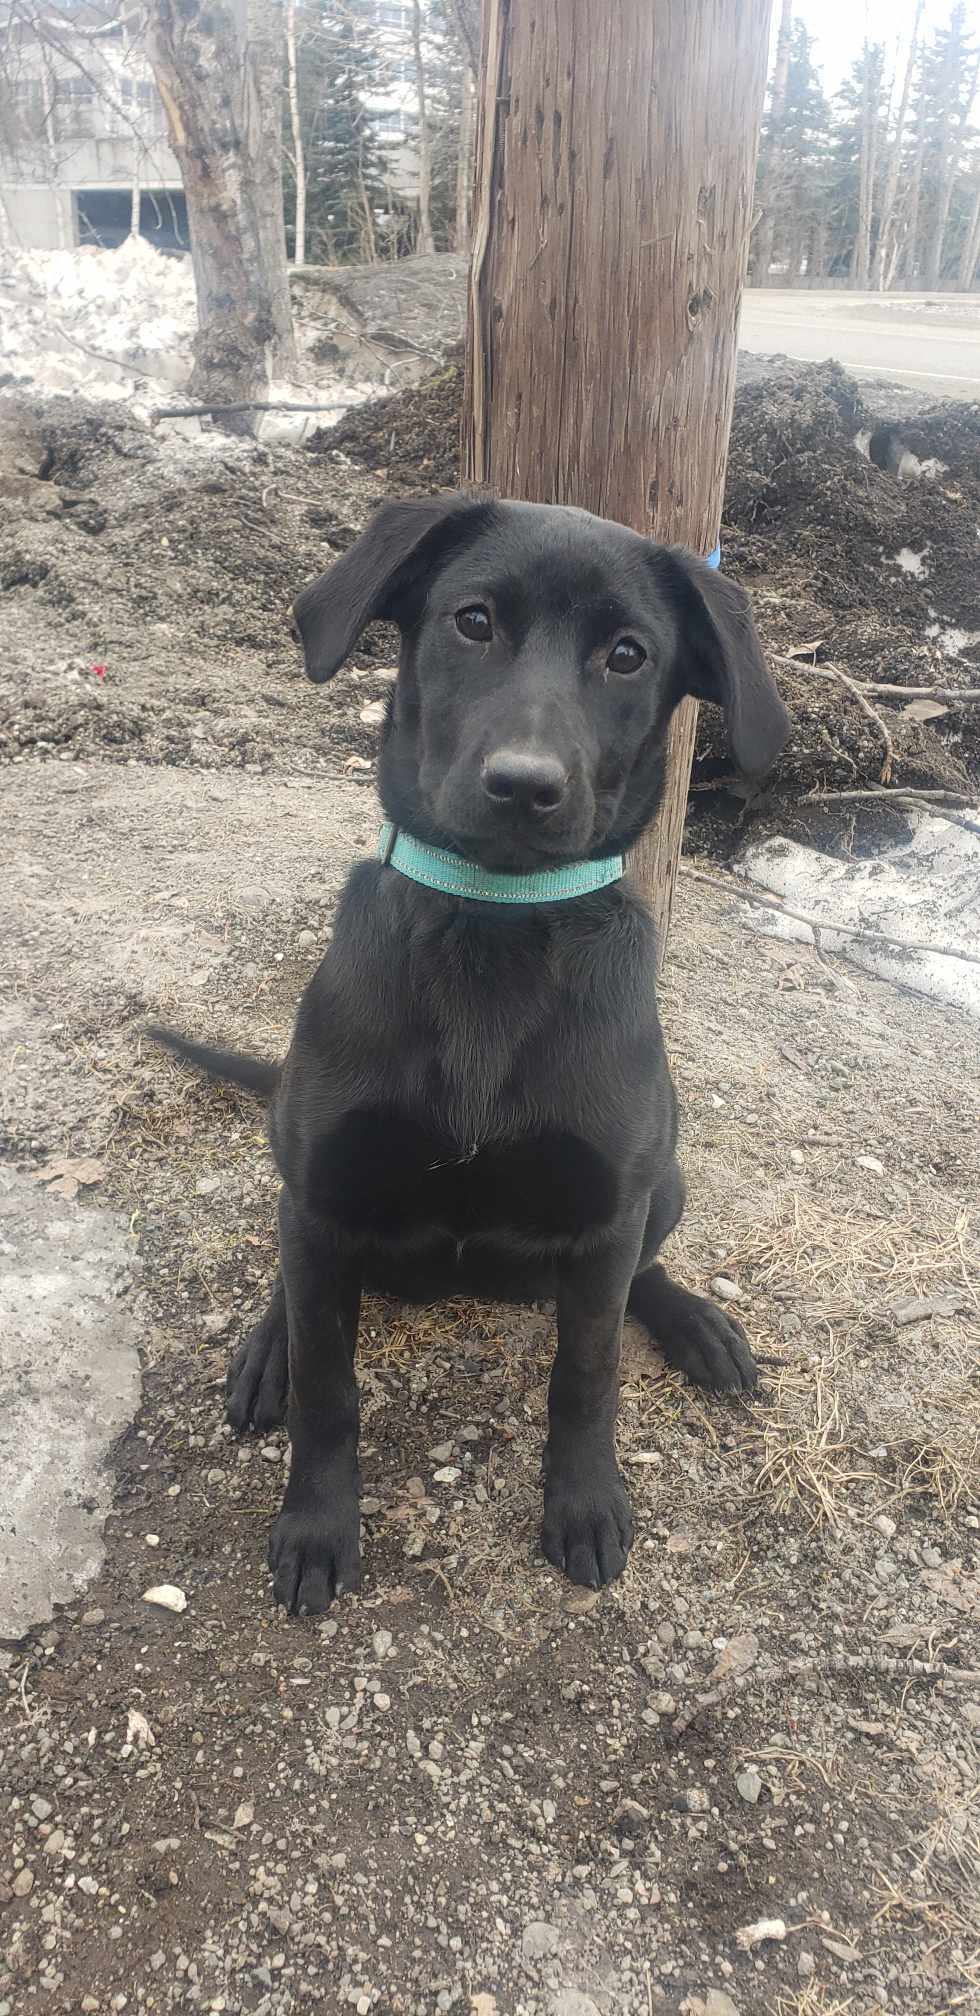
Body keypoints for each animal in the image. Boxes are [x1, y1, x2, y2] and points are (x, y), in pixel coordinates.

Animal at [159, 495, 790, 1612]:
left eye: (628, 655)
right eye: (474, 622)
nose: (524, 787)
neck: (494, 930)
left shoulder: (605, 1215)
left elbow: (586, 1376)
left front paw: (583, 1505)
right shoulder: (325, 1189)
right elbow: (329, 1387)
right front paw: (316, 1523)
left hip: (661, 1184)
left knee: (643, 1267)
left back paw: (695, 1325)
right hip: (301, 1183)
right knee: (294, 1282)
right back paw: (267, 1350)